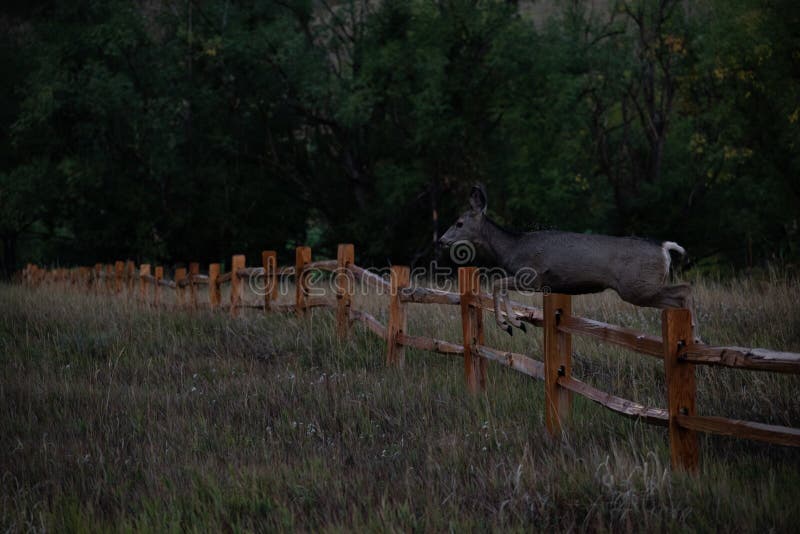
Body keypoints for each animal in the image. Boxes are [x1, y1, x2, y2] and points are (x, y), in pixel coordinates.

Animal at [438, 184, 696, 336]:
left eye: (459, 223)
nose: (441, 240)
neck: (511, 248)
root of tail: (663, 248)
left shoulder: (532, 277)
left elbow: (496, 285)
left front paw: (510, 324)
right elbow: (499, 287)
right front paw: (515, 323)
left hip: (637, 286)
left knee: (684, 290)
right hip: (643, 287)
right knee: (678, 297)